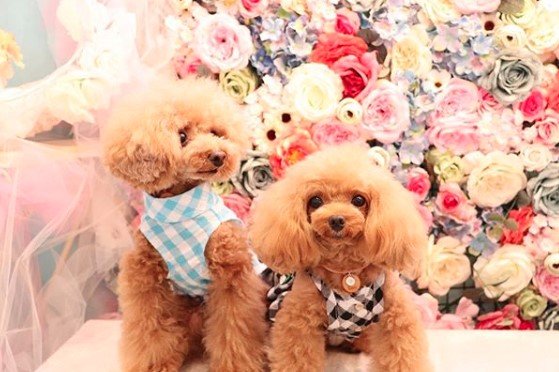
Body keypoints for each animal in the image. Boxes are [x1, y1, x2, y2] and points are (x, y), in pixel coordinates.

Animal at [103, 77, 270, 372]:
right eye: (182, 136)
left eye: (216, 132)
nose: (218, 155)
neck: (179, 213)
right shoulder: (146, 276)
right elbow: (149, 326)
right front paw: (155, 364)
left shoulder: (230, 275)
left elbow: (233, 327)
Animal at [249, 145, 434, 372]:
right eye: (315, 201)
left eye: (358, 200)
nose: (336, 220)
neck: (347, 270)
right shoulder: (299, 321)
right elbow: (297, 357)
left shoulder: (396, 316)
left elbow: (401, 354)